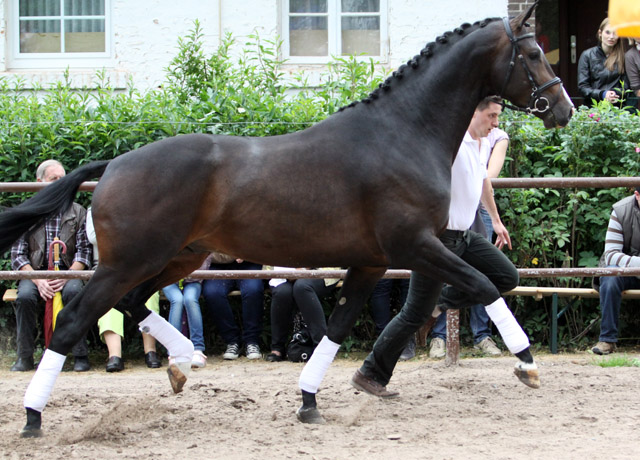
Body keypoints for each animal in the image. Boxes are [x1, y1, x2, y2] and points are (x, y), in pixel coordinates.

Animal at [0, 2, 568, 434]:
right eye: (533, 53)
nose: (563, 108)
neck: (402, 134)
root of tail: (115, 163)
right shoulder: (416, 246)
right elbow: (485, 285)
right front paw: (527, 364)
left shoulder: (372, 263)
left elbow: (337, 327)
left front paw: (309, 401)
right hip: (130, 261)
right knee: (73, 320)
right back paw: (33, 416)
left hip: (176, 259)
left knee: (133, 302)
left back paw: (183, 364)